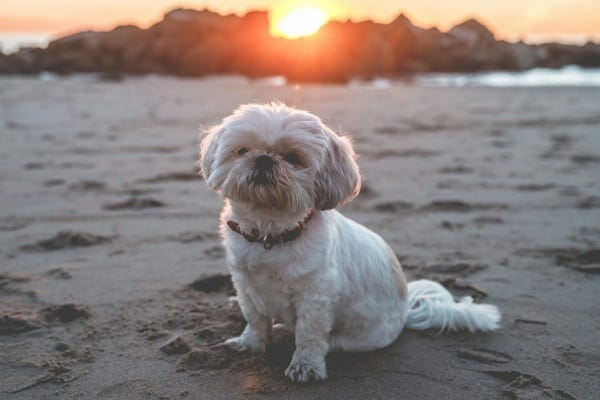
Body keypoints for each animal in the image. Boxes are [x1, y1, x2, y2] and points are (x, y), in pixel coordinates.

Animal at [198, 101, 502, 382]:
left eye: (293, 158)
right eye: (242, 151)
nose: (263, 159)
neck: (270, 234)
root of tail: (405, 311)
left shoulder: (315, 297)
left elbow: (309, 335)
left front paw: (305, 366)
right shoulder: (246, 285)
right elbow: (256, 320)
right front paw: (249, 344)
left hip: (357, 337)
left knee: (326, 341)